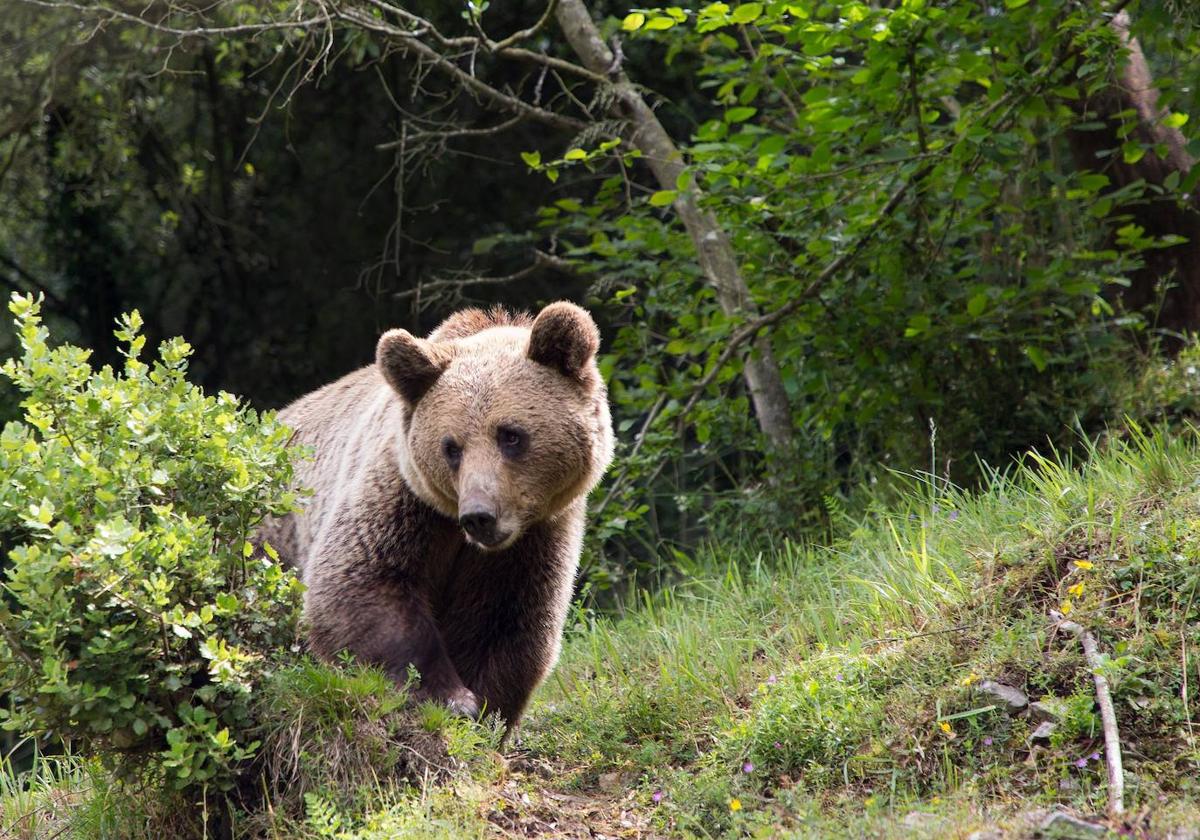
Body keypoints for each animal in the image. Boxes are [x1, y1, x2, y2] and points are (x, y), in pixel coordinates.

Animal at [255, 303, 609, 729]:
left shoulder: (534, 538)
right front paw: (450, 697)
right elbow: (362, 583)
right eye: (451, 447)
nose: (479, 515)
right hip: (273, 537)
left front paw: (484, 708)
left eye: (511, 435)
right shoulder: (403, 500)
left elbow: (505, 620)